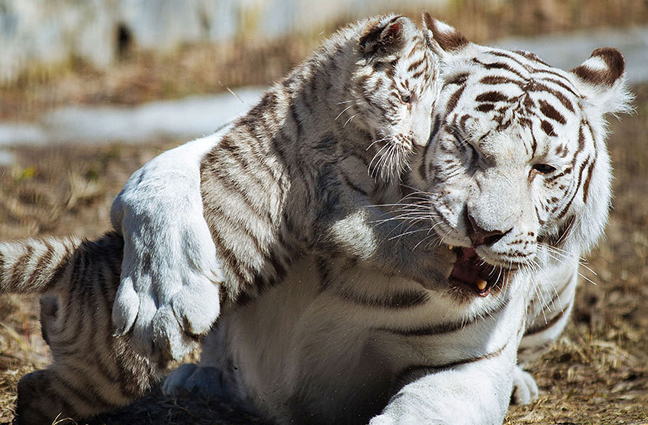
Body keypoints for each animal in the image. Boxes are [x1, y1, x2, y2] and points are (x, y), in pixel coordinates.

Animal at [110, 14, 628, 424]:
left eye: (543, 169)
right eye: (465, 145)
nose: (484, 231)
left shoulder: (468, 367)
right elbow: (158, 178)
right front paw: (160, 303)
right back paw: (197, 376)